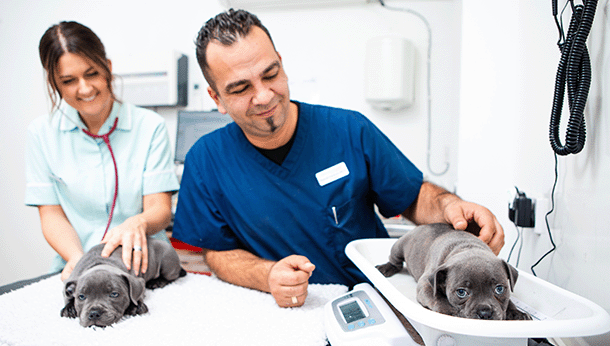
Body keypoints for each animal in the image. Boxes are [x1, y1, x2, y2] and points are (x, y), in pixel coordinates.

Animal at [372, 223, 528, 320]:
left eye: (499, 289)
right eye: (461, 292)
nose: (485, 313)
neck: (467, 247)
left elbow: (509, 301)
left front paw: (516, 312)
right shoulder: (426, 284)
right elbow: (436, 297)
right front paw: (449, 310)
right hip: (399, 246)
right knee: (395, 261)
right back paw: (386, 268)